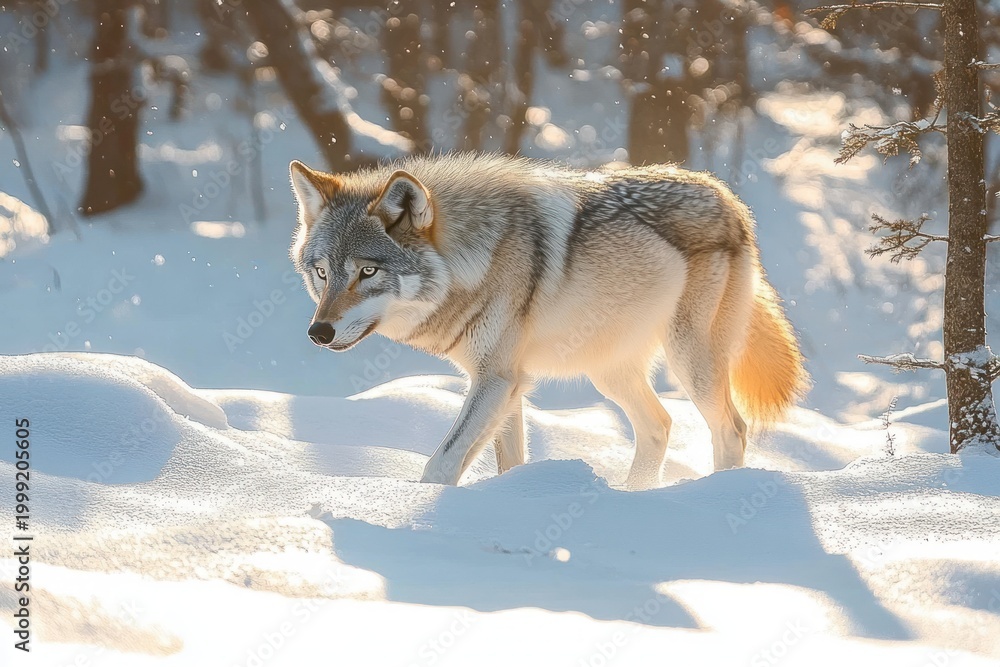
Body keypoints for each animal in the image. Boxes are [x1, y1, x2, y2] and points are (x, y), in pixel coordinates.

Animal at [288, 153, 806, 487]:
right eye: (323, 273)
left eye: (367, 272)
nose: (317, 332)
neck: (478, 258)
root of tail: (730, 200)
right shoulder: (507, 384)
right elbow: (508, 463)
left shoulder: (497, 380)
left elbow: (440, 465)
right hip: (608, 371)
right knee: (659, 425)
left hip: (688, 362)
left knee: (731, 429)